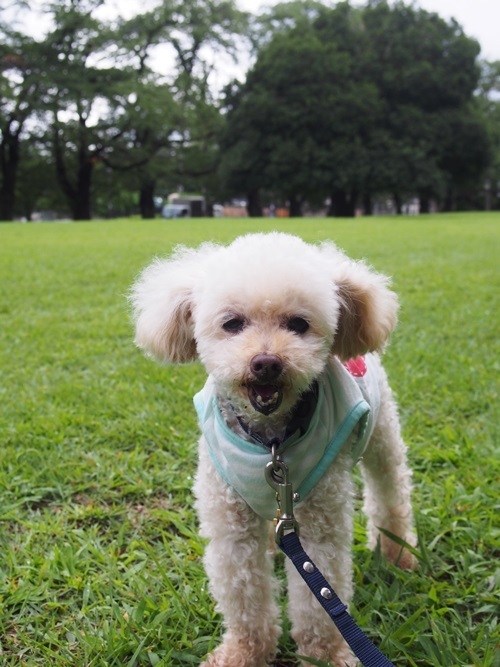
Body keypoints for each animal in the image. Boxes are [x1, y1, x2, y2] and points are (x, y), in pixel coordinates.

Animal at [130, 232, 416, 667]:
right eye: (232, 323)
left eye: (298, 324)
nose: (266, 363)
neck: (270, 442)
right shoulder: (230, 522)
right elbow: (243, 594)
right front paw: (244, 652)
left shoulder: (319, 520)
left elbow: (320, 598)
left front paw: (325, 655)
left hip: (381, 433)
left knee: (389, 491)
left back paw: (398, 553)